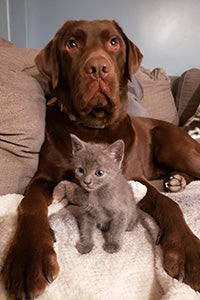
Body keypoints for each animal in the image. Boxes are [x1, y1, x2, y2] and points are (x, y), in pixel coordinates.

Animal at [2, 19, 200, 298]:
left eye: (114, 42)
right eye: (71, 44)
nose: (97, 68)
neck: (93, 127)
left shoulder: (133, 179)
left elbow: (169, 204)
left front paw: (188, 250)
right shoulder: (43, 178)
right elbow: (28, 204)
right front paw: (28, 256)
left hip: (173, 144)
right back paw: (176, 180)